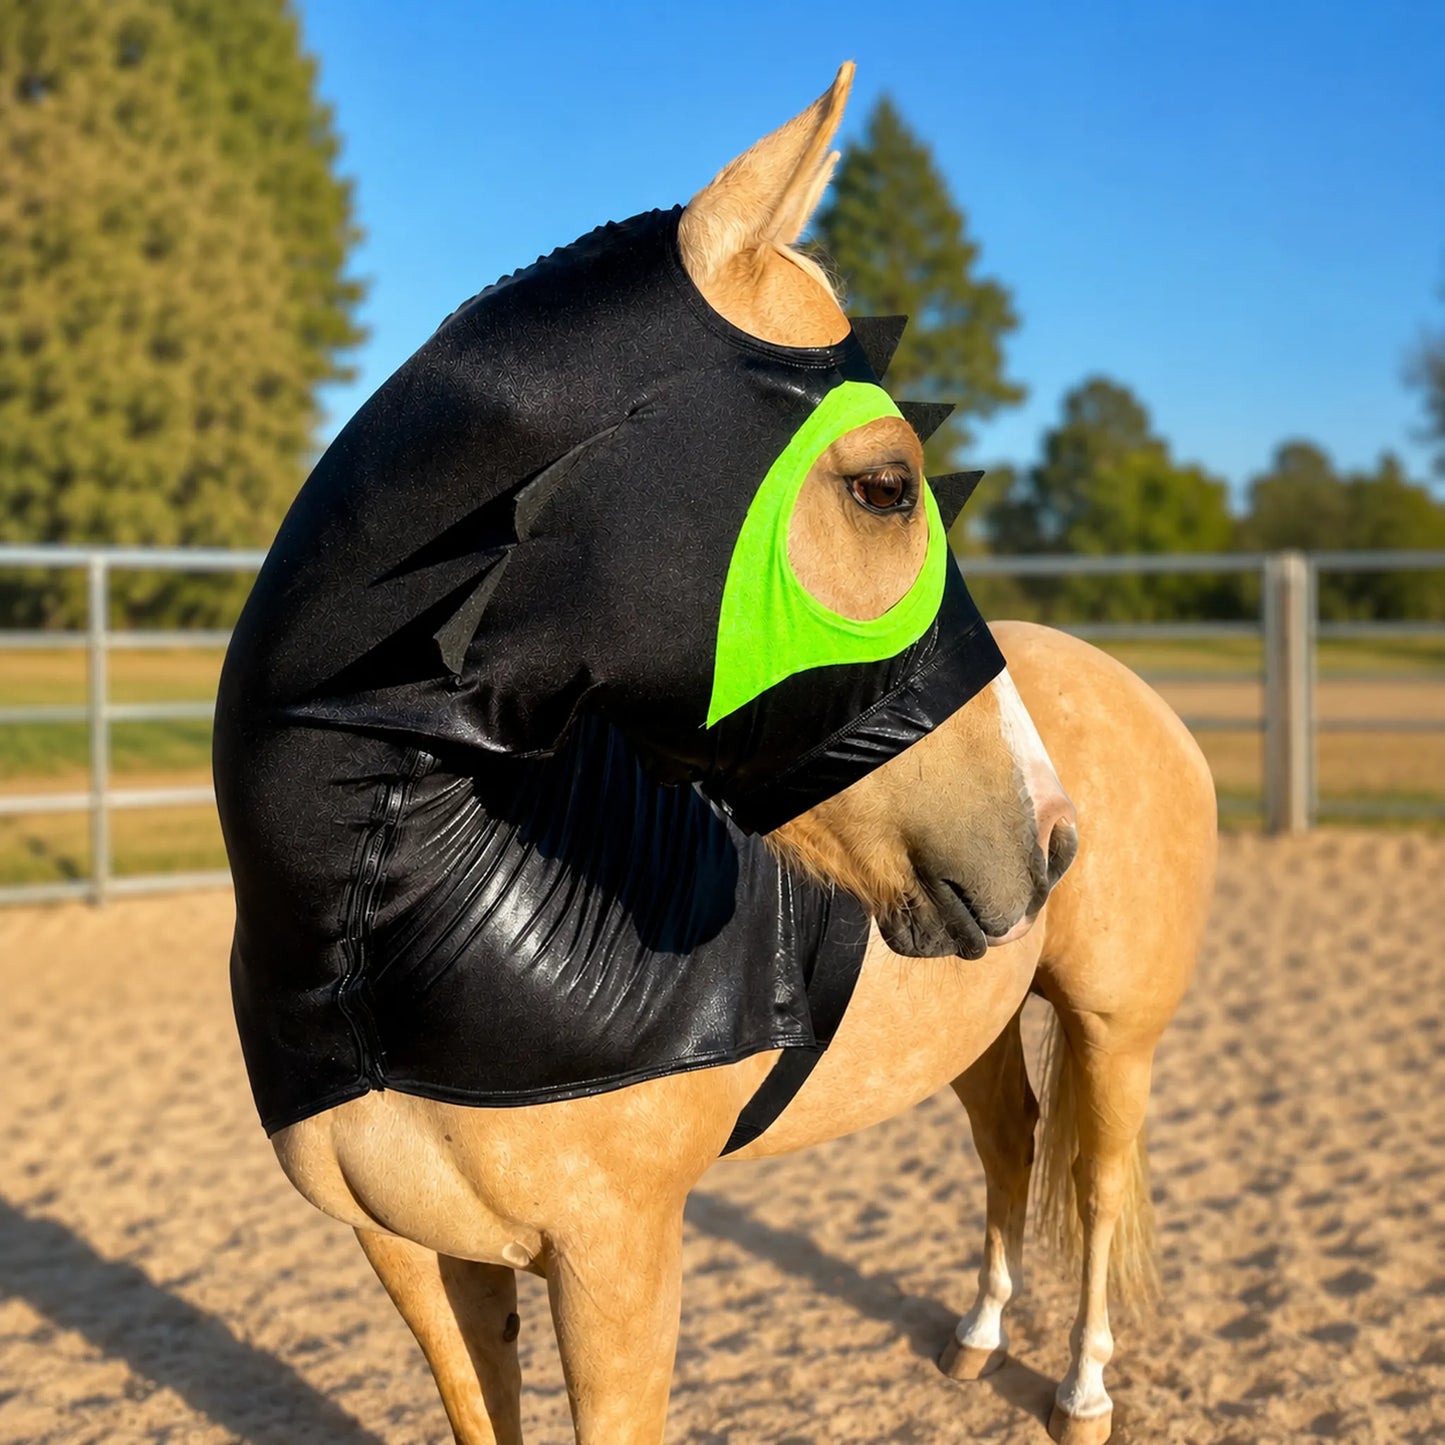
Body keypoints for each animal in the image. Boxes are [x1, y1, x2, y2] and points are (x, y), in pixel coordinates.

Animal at [256, 65, 1216, 1445]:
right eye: (884, 488)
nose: (1049, 832)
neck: (378, 929)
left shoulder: (613, 1261)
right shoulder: (415, 1257)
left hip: (1110, 1026)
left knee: (1092, 1178)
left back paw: (1079, 1387)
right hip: (979, 1021)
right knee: (1009, 1142)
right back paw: (975, 1340)